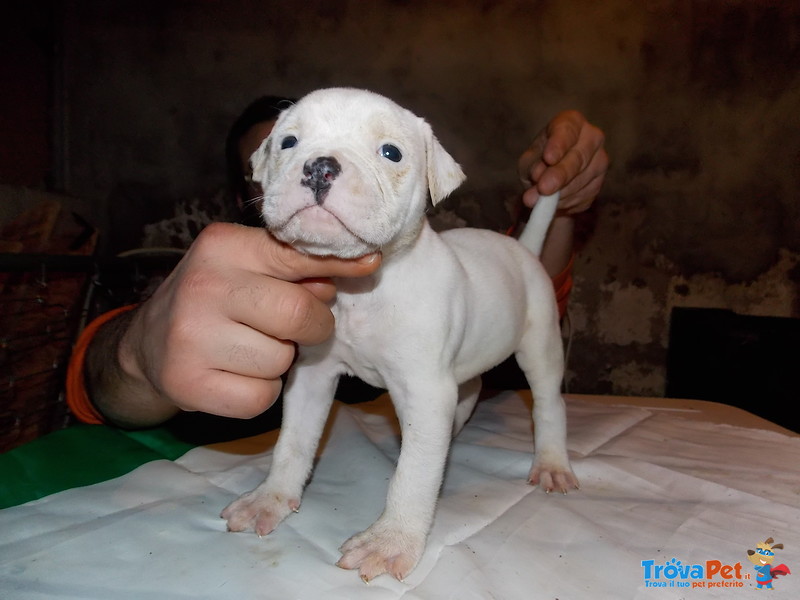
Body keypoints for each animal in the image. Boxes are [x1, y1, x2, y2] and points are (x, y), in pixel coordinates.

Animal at [222, 88, 580, 580]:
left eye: (391, 153)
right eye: (288, 141)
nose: (320, 166)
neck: (358, 291)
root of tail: (521, 248)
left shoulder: (425, 390)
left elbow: (414, 474)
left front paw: (389, 541)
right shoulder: (313, 376)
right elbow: (293, 442)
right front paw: (268, 499)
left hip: (539, 343)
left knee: (547, 403)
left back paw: (551, 462)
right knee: (470, 389)